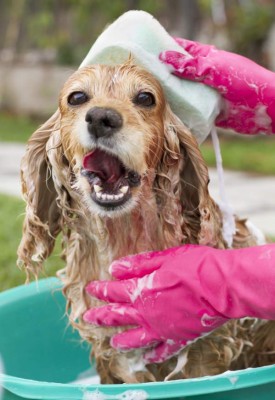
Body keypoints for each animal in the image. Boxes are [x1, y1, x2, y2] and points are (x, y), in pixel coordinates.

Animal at [17, 60, 275, 384]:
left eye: (144, 98)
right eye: (76, 97)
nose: (102, 117)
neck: (121, 239)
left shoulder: (203, 353)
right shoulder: (109, 352)